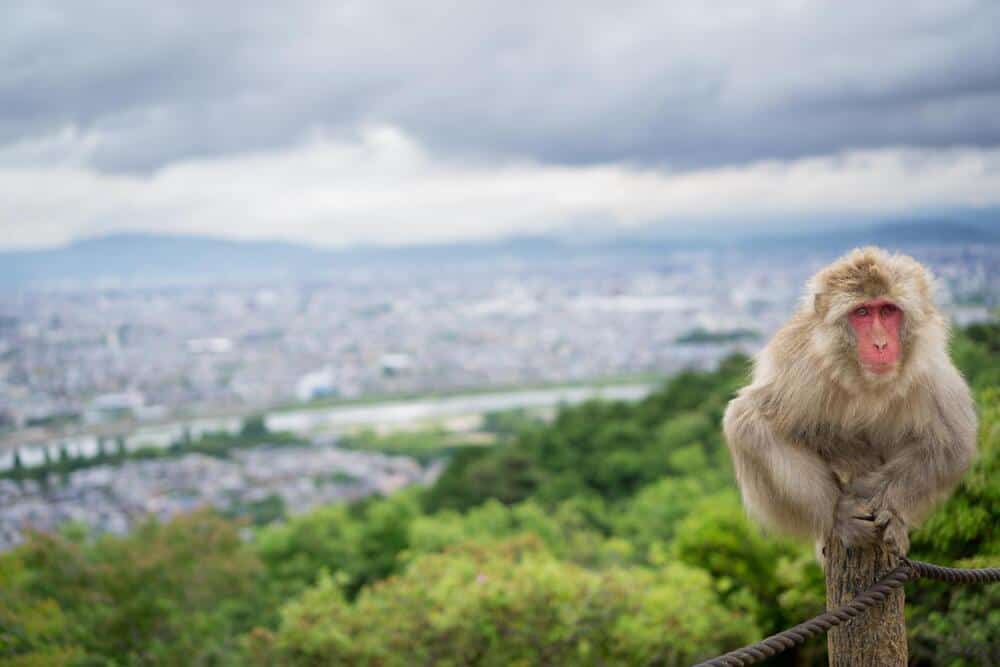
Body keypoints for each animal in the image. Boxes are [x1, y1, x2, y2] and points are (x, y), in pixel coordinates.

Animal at [724, 248, 980, 556]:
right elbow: (757, 420)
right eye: (862, 313)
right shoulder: (801, 369)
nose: (880, 344)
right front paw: (841, 509)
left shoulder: (929, 370)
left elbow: (950, 443)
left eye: (888, 310)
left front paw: (887, 506)